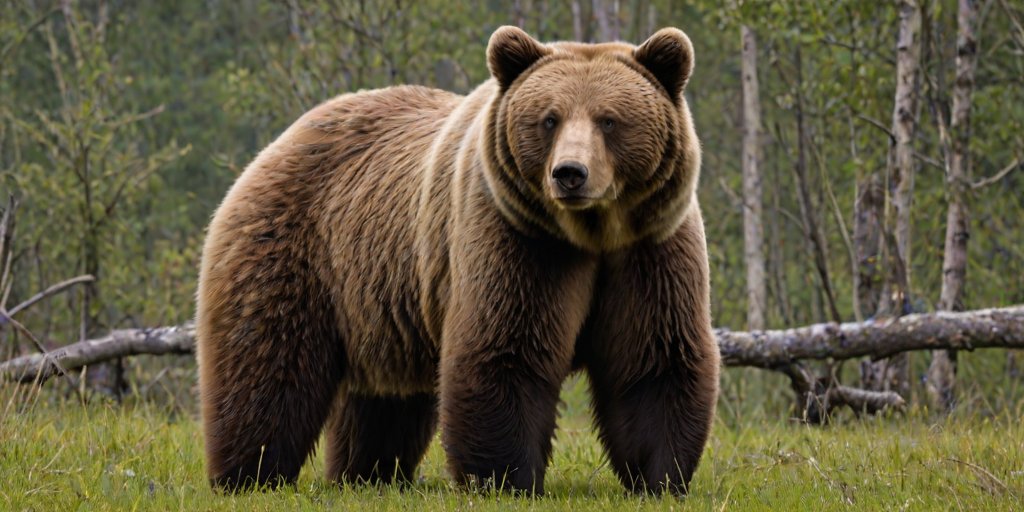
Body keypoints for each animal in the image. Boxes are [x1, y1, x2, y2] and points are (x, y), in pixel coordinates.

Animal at [195, 25, 720, 496]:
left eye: (609, 120)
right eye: (549, 118)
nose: (570, 173)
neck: (589, 232)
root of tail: (281, 140)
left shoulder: (647, 249)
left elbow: (652, 358)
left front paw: (659, 476)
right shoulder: (515, 239)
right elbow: (504, 348)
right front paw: (506, 479)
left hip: (380, 299)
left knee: (385, 397)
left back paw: (368, 474)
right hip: (297, 249)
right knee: (266, 363)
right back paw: (249, 474)